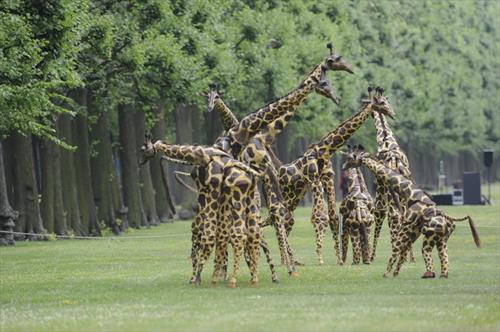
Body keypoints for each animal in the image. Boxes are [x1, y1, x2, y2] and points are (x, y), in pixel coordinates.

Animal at [139, 136, 260, 288]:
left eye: (143, 149)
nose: (141, 161)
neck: (202, 154)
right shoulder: (221, 199)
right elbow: (220, 236)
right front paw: (213, 276)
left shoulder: (211, 190)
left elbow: (208, 237)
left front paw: (197, 278)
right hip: (248, 200)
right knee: (252, 233)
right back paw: (253, 278)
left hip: (233, 198)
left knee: (229, 234)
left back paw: (224, 280)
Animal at [264, 87, 396, 266]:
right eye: (382, 103)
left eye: (387, 102)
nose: (392, 113)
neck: (324, 150)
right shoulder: (314, 177)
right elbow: (320, 216)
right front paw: (321, 259)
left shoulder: (328, 177)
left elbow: (333, 217)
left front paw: (340, 259)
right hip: (284, 195)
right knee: (278, 218)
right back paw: (286, 259)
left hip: (295, 197)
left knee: (283, 219)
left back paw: (289, 260)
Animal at [340, 145, 480, 278]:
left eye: (350, 158)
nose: (343, 167)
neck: (411, 194)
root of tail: (447, 225)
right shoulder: (413, 230)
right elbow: (402, 253)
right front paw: (395, 273)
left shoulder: (407, 226)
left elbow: (396, 250)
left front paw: (386, 274)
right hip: (442, 240)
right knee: (444, 259)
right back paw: (440, 275)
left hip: (430, 237)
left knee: (426, 254)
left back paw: (427, 274)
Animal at [370, 87, 416, 264]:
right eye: (384, 102)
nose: (393, 114)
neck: (385, 140)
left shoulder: (380, 191)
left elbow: (380, 214)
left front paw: (371, 256)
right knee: (403, 215)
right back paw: (406, 254)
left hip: (390, 194)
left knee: (394, 216)